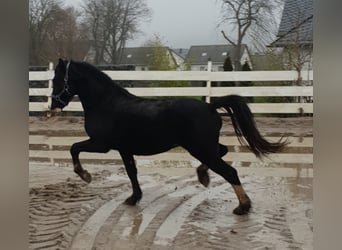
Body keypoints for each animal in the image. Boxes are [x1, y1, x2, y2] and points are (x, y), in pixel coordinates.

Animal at [49, 59, 288, 215]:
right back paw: (203, 176)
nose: (52, 105)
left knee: (230, 171)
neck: (106, 103)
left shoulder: (102, 144)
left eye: (57, 78)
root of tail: (210, 107)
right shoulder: (124, 149)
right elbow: (132, 172)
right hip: (204, 147)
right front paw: (134, 198)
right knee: (223, 152)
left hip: (200, 148)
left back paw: (242, 206)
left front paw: (85, 175)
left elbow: (74, 147)